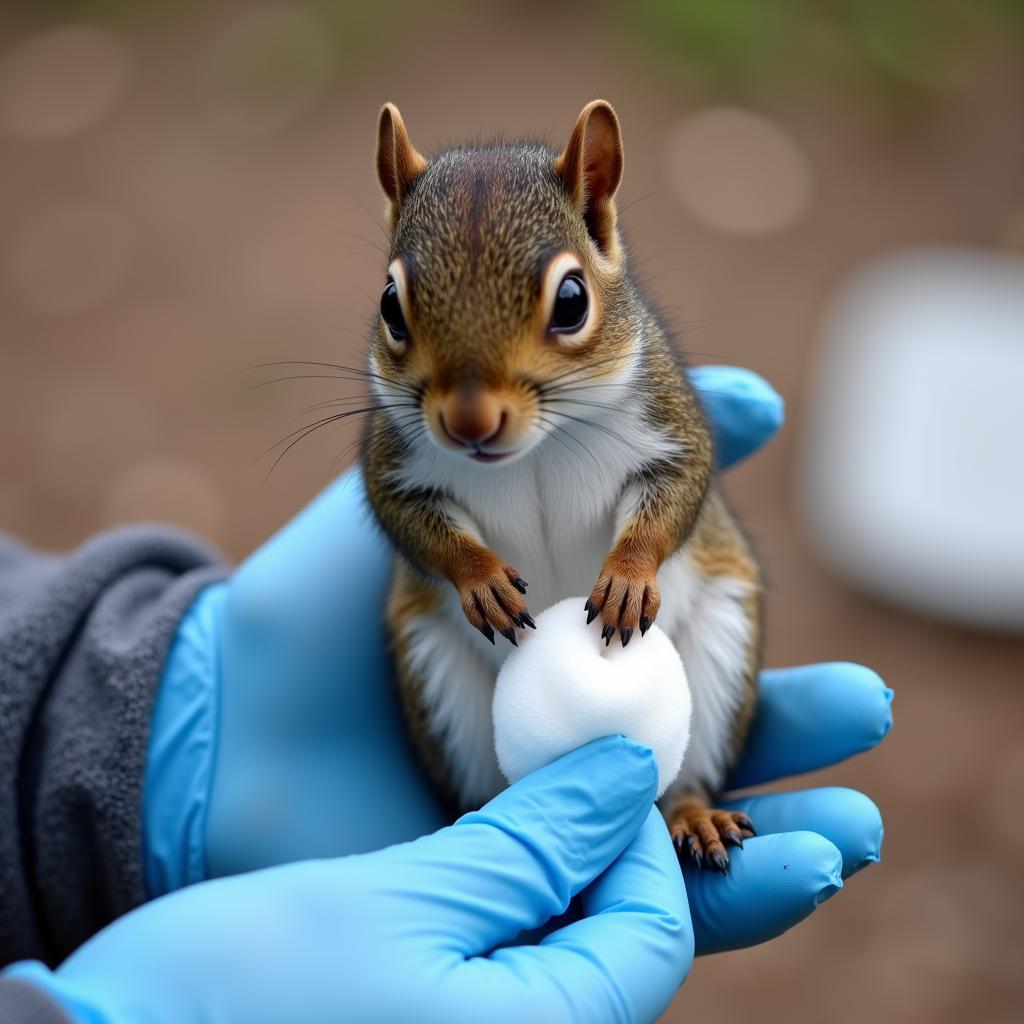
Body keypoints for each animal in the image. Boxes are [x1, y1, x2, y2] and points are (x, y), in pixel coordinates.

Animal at [360, 97, 761, 872]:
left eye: (572, 300)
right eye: (391, 306)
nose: (469, 420)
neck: (534, 452)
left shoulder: (667, 422)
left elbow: (678, 492)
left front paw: (629, 576)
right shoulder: (391, 461)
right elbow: (407, 520)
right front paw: (480, 578)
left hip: (723, 646)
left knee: (689, 776)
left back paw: (694, 814)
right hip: (439, 683)